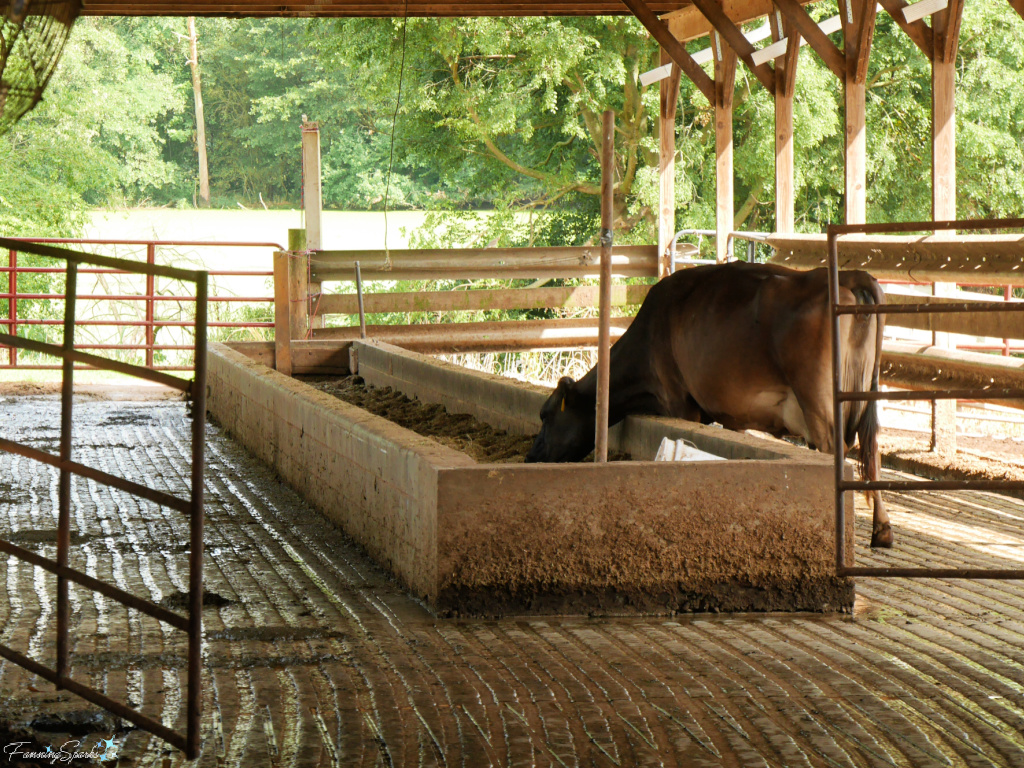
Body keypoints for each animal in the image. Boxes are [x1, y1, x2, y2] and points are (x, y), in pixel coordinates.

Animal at [528, 264, 888, 548]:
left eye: (545, 415)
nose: (531, 457)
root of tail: (850, 275)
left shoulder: (680, 399)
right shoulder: (733, 413)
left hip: (818, 400)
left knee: (835, 450)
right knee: (872, 451)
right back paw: (882, 530)